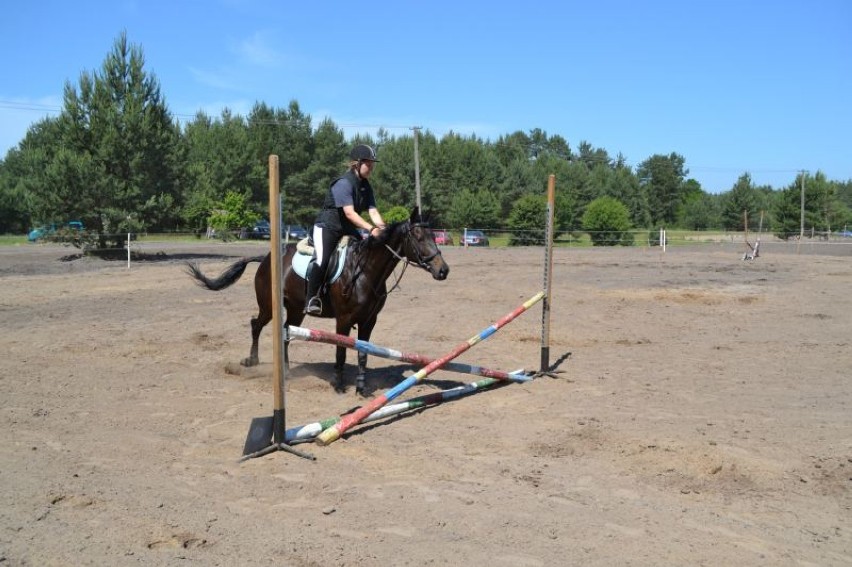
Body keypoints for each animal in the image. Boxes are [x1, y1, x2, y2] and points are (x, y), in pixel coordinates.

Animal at [186, 206, 450, 398]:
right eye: (418, 236)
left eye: (434, 235)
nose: (443, 270)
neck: (366, 271)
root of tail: (266, 258)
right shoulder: (344, 320)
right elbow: (341, 352)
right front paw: (338, 385)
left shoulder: (369, 321)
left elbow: (363, 353)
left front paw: (361, 388)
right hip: (269, 306)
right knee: (256, 324)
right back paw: (252, 360)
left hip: (295, 310)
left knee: (285, 331)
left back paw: (286, 370)